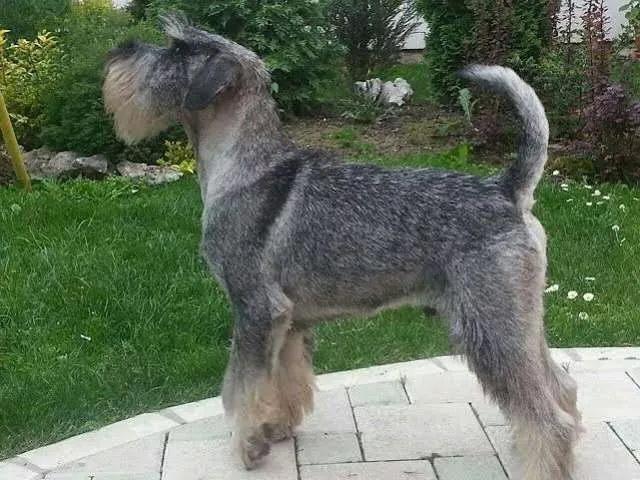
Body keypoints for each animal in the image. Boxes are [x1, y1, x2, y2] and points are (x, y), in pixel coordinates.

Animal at [103, 14, 582, 479]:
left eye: (177, 48)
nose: (118, 49)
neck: (241, 167)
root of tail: (507, 190)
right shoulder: (289, 321)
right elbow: (284, 380)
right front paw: (275, 428)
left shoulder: (255, 310)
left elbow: (240, 389)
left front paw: (246, 447)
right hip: (520, 322)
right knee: (561, 388)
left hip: (489, 326)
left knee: (547, 415)